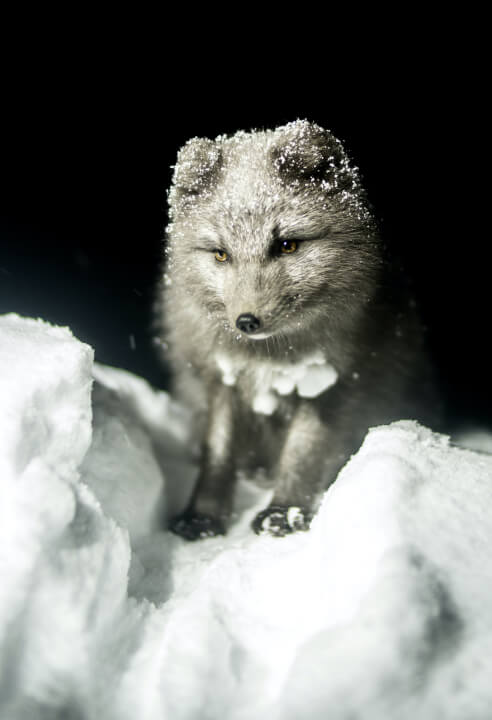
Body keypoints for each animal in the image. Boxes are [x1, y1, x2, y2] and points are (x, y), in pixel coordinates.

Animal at [157, 121, 438, 540]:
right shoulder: (219, 378)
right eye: (220, 254)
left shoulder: (334, 383)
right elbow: (217, 452)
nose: (247, 321)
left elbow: (303, 452)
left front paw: (284, 512)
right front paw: (202, 515)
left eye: (287, 245)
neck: (270, 356)